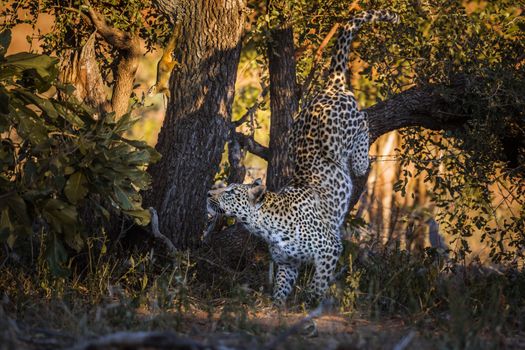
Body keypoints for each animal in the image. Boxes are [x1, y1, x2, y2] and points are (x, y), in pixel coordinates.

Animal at [205, 10, 398, 306]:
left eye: (229, 192)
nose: (207, 195)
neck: (264, 225)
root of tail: (330, 87)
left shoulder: (330, 247)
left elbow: (318, 283)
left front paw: (311, 303)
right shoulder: (287, 263)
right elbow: (281, 288)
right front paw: (276, 307)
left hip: (345, 135)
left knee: (364, 124)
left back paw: (363, 155)